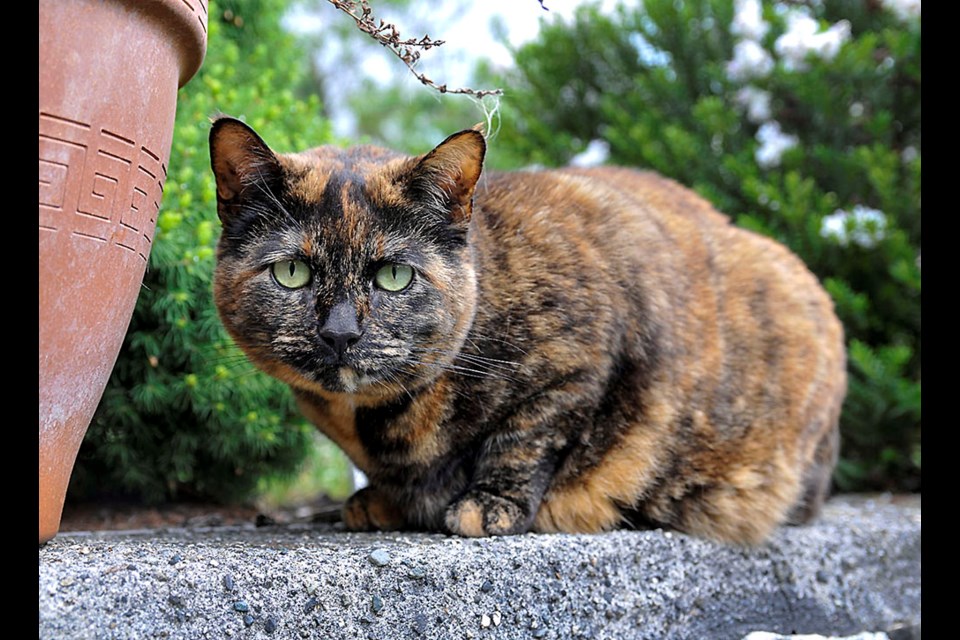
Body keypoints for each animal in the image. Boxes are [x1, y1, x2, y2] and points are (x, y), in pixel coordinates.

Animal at [206, 116, 844, 544]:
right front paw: (381, 501)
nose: (340, 333)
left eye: (393, 275)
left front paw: (487, 505)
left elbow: (527, 436)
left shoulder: (584, 359)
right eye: (292, 272)